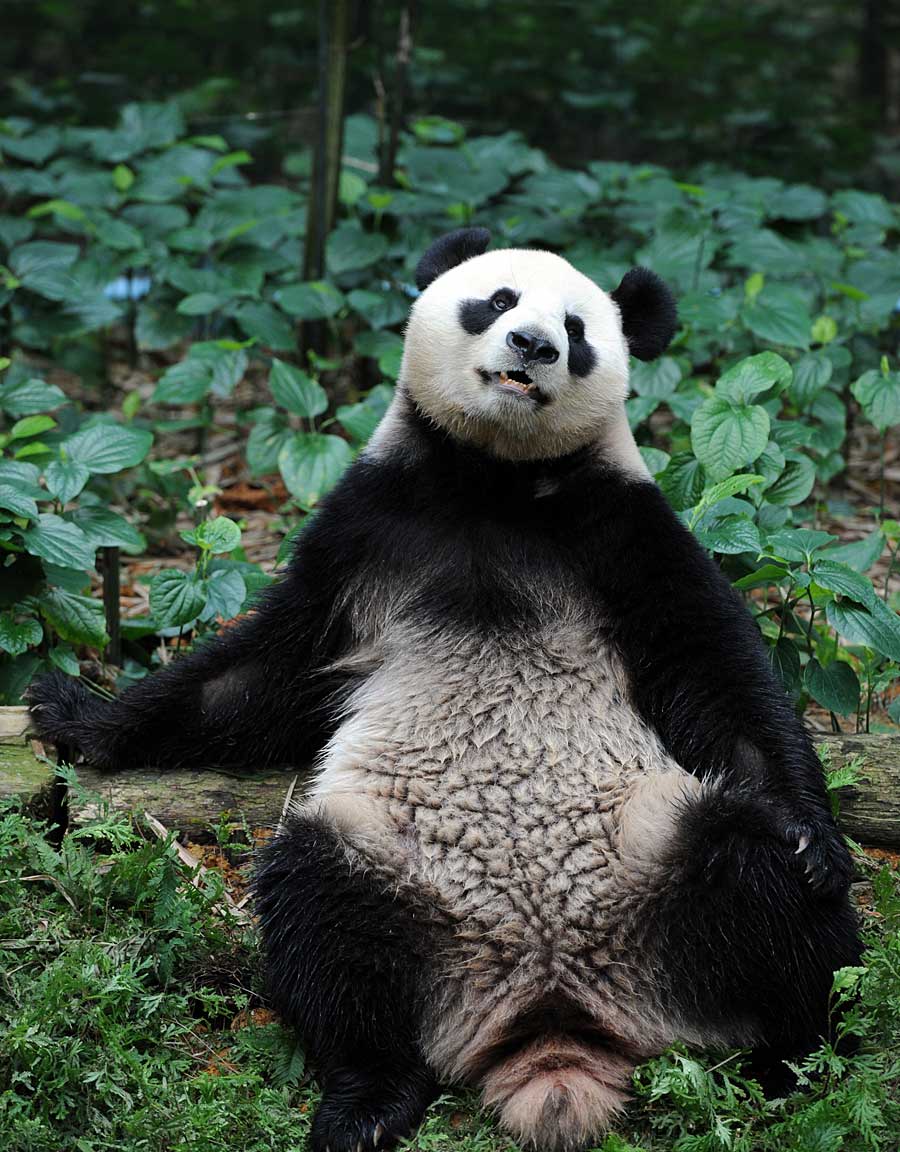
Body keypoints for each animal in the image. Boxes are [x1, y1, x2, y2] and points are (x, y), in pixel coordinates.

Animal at [26, 229, 857, 1152]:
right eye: (497, 301)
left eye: (577, 330)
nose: (532, 347)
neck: (493, 480)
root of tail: (553, 1011)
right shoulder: (368, 528)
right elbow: (259, 674)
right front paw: (78, 715)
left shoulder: (623, 526)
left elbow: (716, 671)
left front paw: (814, 838)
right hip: (398, 871)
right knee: (325, 923)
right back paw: (367, 1099)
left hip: (658, 851)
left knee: (769, 890)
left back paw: (799, 1059)